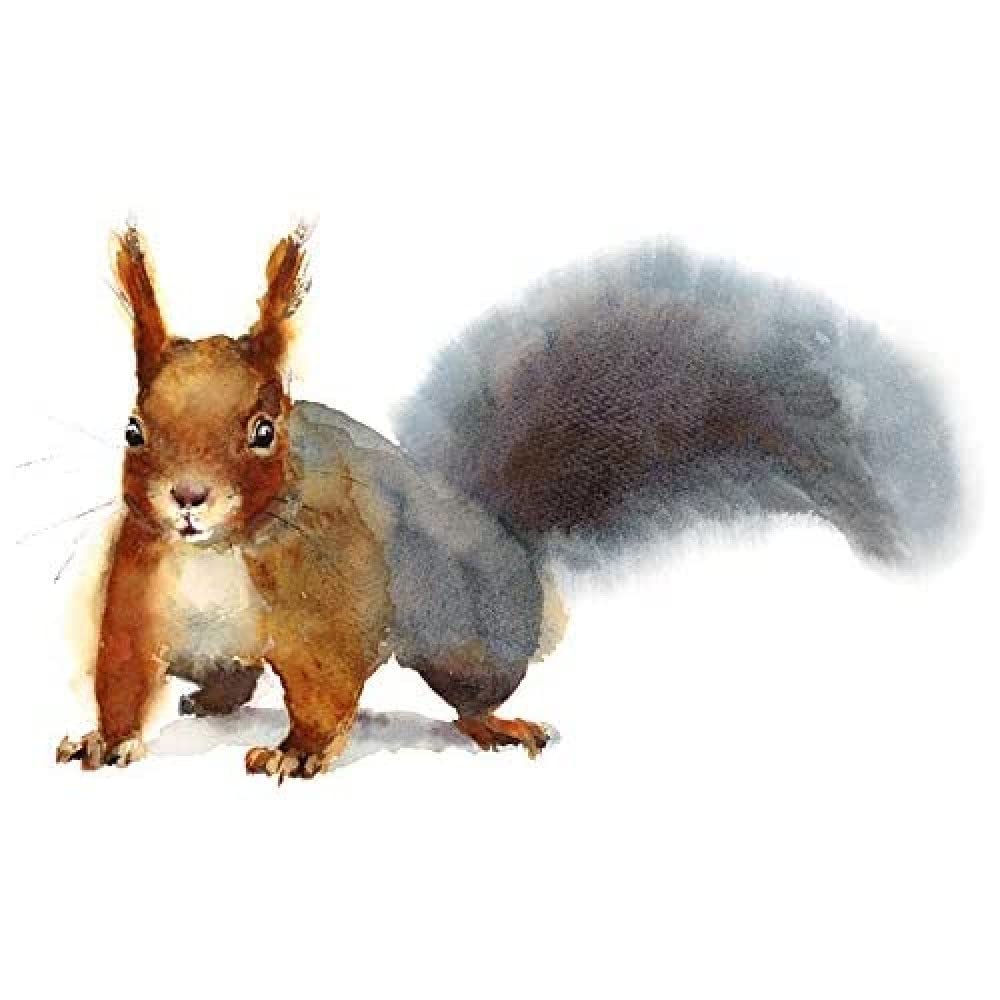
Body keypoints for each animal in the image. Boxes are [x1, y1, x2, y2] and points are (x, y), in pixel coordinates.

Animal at [56, 222, 962, 779]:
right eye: (134, 429)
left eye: (263, 430)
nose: (189, 499)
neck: (219, 551)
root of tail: (498, 532)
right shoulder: (139, 586)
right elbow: (121, 672)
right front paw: (103, 739)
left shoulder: (328, 600)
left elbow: (324, 685)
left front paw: (297, 754)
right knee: (235, 678)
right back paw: (212, 698)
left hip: (471, 640)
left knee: (472, 695)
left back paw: (495, 727)